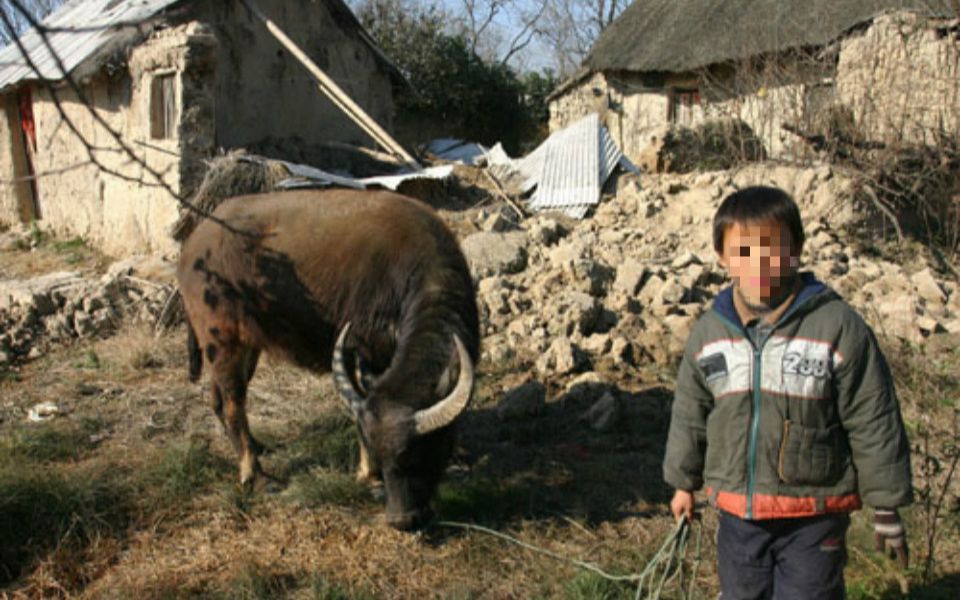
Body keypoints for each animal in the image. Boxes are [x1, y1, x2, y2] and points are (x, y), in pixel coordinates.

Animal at [177, 189, 480, 528]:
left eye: (421, 452)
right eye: (386, 459)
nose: (402, 520)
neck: (419, 278)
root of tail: (194, 246)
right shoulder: (367, 351)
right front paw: (368, 474)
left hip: (247, 347)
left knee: (219, 399)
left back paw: (257, 446)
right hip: (222, 341)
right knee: (232, 404)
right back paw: (256, 476)